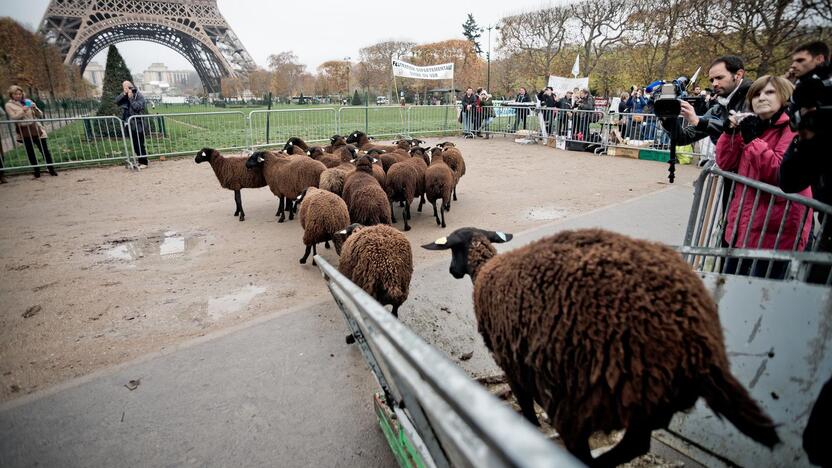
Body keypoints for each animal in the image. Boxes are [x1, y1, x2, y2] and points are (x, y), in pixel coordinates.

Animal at [422, 227, 780, 464]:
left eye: (452, 249)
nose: (452, 270)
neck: (484, 270)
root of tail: (699, 343)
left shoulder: (511, 362)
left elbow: (526, 408)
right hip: (649, 399)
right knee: (636, 445)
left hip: (587, 396)